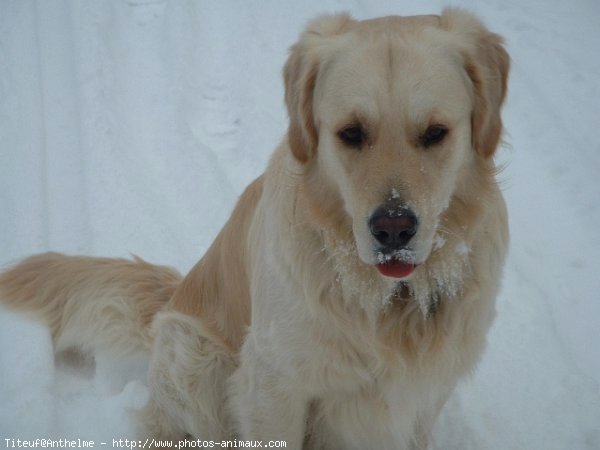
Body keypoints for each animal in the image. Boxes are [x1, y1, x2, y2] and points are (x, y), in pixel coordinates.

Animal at [0, 7, 508, 450]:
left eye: (436, 133)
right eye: (350, 133)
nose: (393, 231)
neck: (387, 303)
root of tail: (174, 294)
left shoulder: (425, 394)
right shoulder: (272, 382)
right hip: (195, 358)